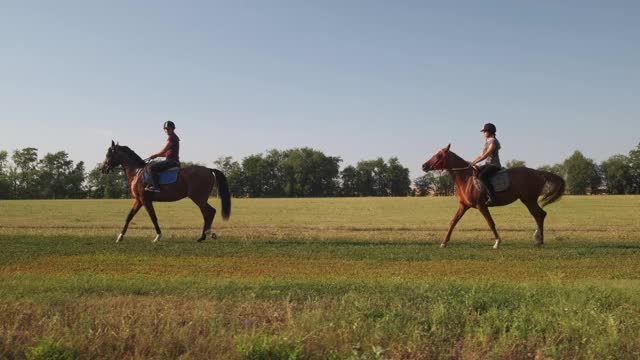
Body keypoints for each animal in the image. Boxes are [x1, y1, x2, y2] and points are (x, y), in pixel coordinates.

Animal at [100, 141, 230, 242]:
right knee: (208, 213)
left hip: (199, 198)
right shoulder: (139, 200)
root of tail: (208, 169)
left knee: (209, 212)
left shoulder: (145, 200)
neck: (137, 172)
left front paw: (158, 236)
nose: (103, 169)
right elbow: (129, 217)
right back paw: (204, 236)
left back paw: (206, 234)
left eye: (108, 154)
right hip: (201, 199)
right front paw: (120, 236)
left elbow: (153, 217)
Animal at [422, 143, 564, 248]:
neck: (466, 179)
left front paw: (497, 242)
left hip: (529, 199)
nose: (424, 165)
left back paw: (539, 241)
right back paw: (539, 240)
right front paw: (443, 243)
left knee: (540, 215)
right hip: (528, 200)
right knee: (539, 215)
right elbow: (453, 222)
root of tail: (537, 173)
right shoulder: (463, 206)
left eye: (439, 155)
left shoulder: (481, 206)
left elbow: (490, 223)